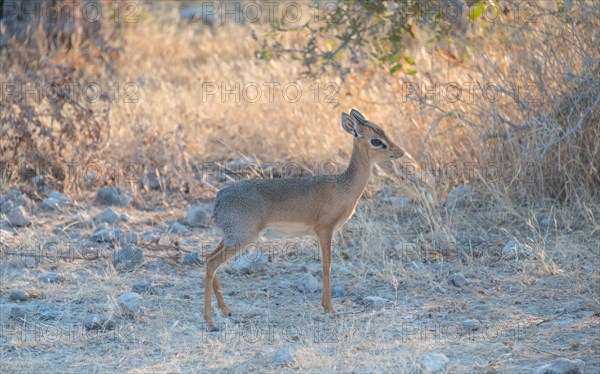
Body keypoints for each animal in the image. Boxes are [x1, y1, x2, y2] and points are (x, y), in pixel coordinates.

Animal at [204, 109, 406, 328]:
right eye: (376, 141)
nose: (400, 152)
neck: (344, 186)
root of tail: (219, 198)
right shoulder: (325, 229)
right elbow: (327, 265)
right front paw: (329, 307)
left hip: (229, 238)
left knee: (208, 259)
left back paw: (225, 310)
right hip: (242, 238)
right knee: (212, 263)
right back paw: (210, 321)